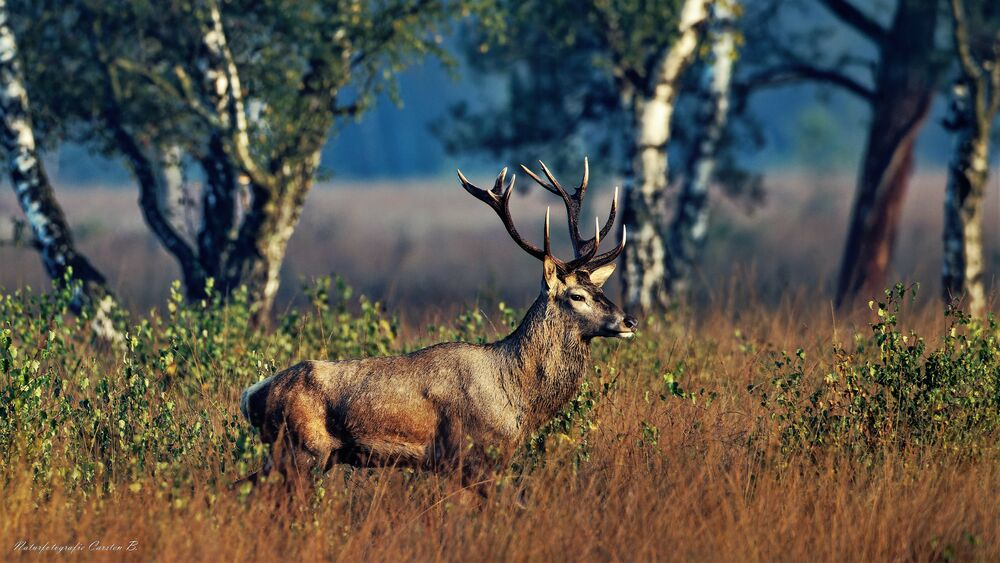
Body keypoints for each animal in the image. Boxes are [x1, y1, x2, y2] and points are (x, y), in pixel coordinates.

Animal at [239, 159, 637, 493]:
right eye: (577, 296)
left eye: (600, 289)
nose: (629, 320)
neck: (517, 396)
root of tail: (252, 395)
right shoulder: (470, 455)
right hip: (301, 448)